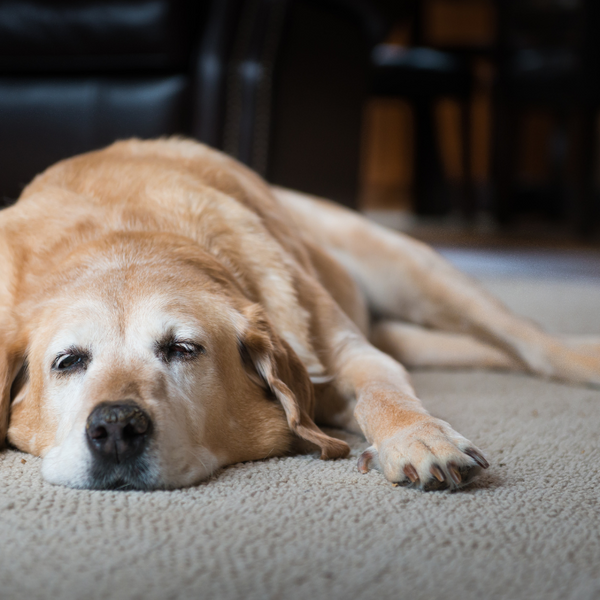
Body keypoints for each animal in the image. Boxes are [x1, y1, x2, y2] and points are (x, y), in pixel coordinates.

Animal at [2, 138, 596, 490]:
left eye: (183, 349)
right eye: (68, 362)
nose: (116, 426)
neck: (125, 239)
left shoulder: (354, 356)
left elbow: (384, 394)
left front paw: (419, 438)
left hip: (411, 269)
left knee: (530, 341)